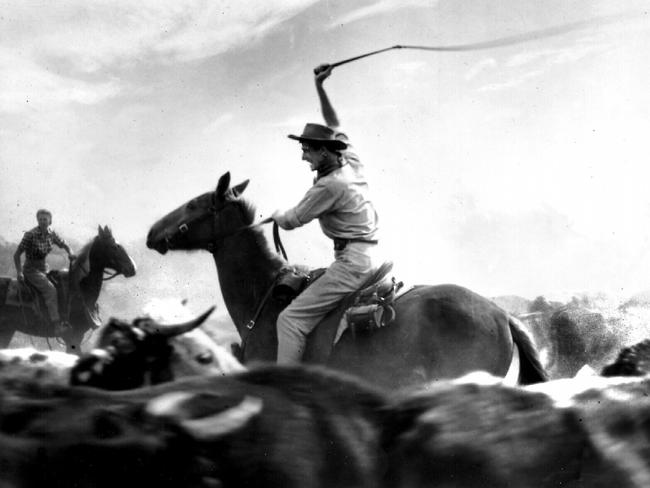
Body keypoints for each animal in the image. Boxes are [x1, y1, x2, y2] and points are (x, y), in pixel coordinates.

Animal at [0, 225, 134, 354]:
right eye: (114, 246)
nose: (132, 268)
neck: (80, 290)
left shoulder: (78, 338)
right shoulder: (73, 338)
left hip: (8, 331)